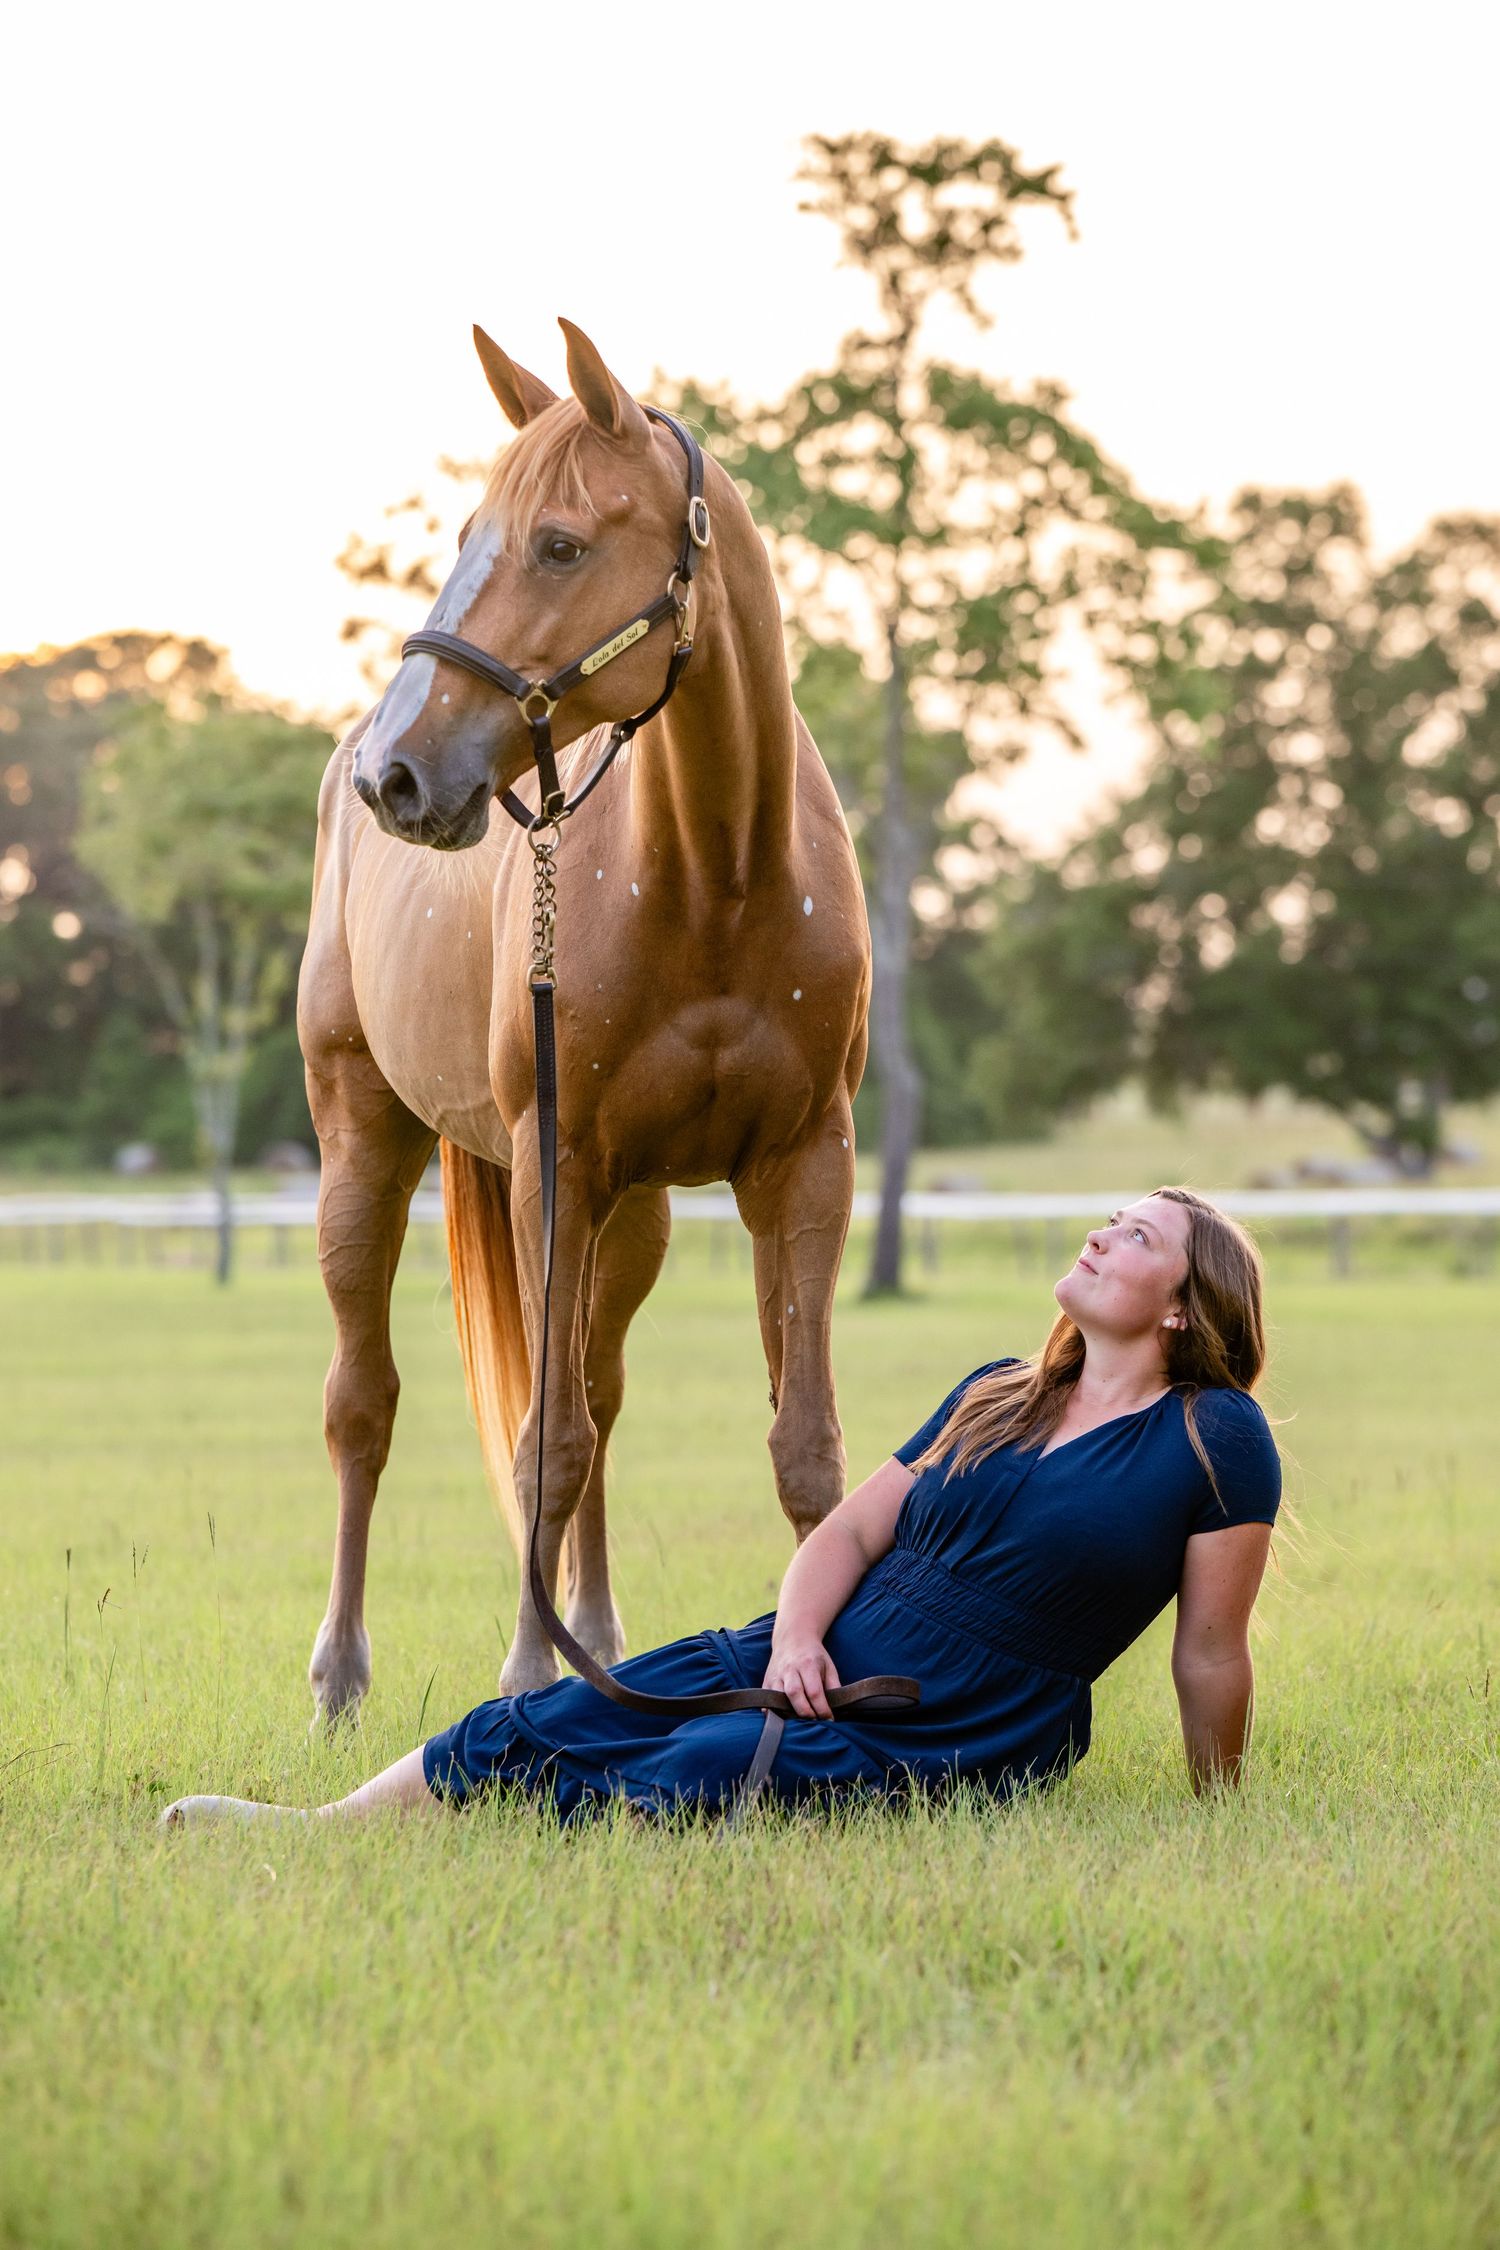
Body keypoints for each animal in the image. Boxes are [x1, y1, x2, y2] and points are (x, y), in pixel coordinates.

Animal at [296, 319, 871, 1719]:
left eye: (558, 544)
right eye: (467, 535)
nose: (399, 776)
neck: (718, 874)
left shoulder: (806, 1170)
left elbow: (803, 1446)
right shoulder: (551, 1167)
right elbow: (541, 1439)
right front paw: (519, 1675)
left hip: (637, 1213)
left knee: (602, 1392)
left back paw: (600, 1640)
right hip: (367, 1148)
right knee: (364, 1404)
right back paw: (342, 1676)